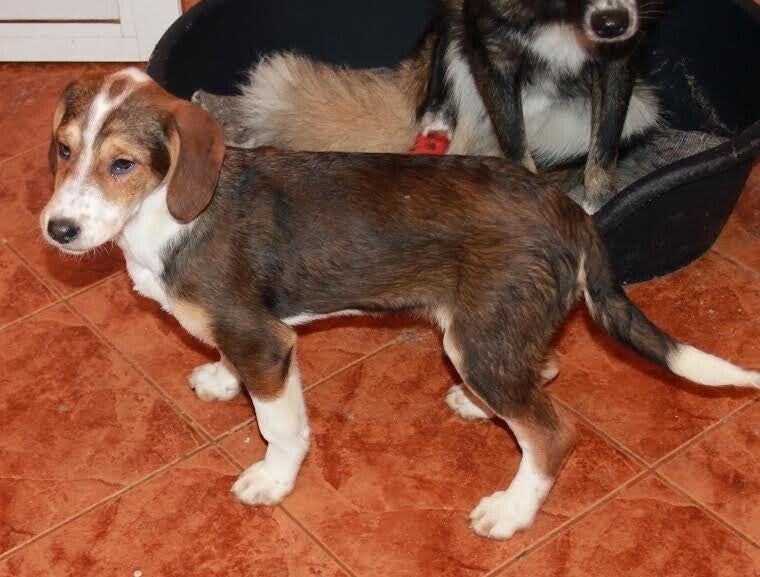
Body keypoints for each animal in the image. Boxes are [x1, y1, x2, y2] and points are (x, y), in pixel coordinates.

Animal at [42, 69, 757, 540]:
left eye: (124, 164)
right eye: (64, 150)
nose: (59, 231)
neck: (165, 212)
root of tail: (568, 209)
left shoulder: (267, 343)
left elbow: (280, 425)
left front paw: (273, 480)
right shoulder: (248, 335)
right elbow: (229, 361)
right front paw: (221, 379)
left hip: (479, 340)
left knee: (551, 433)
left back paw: (511, 510)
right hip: (495, 331)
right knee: (544, 369)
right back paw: (476, 404)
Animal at [420, 0, 661, 212]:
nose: (612, 24)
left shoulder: (620, 54)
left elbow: (607, 136)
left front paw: (600, 203)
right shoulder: (492, 52)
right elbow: (514, 141)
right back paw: (439, 116)